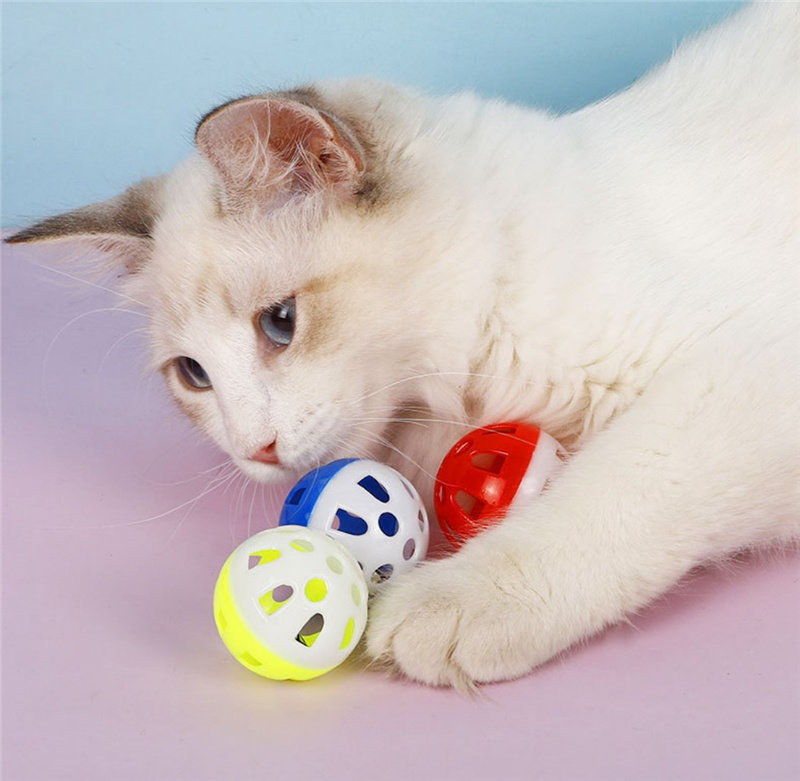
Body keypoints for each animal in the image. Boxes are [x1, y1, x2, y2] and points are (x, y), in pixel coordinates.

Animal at [8, 2, 799, 688]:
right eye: (194, 375)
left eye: (280, 323)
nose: (252, 449)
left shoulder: (743, 381)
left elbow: (615, 492)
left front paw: (459, 601)